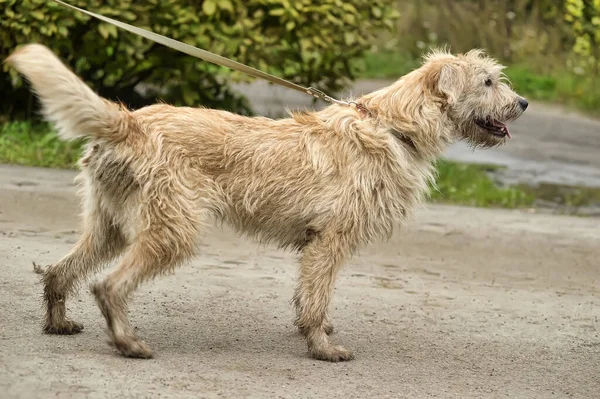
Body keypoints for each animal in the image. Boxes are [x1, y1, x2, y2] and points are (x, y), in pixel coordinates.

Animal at [7, 43, 528, 362]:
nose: (522, 103)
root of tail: (128, 121)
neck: (394, 125)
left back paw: (58, 323)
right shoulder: (330, 242)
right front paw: (322, 348)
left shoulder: (317, 246)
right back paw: (128, 342)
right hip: (172, 230)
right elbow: (316, 299)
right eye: (487, 82)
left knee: (61, 272)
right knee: (109, 286)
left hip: (109, 226)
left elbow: (308, 296)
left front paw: (314, 332)